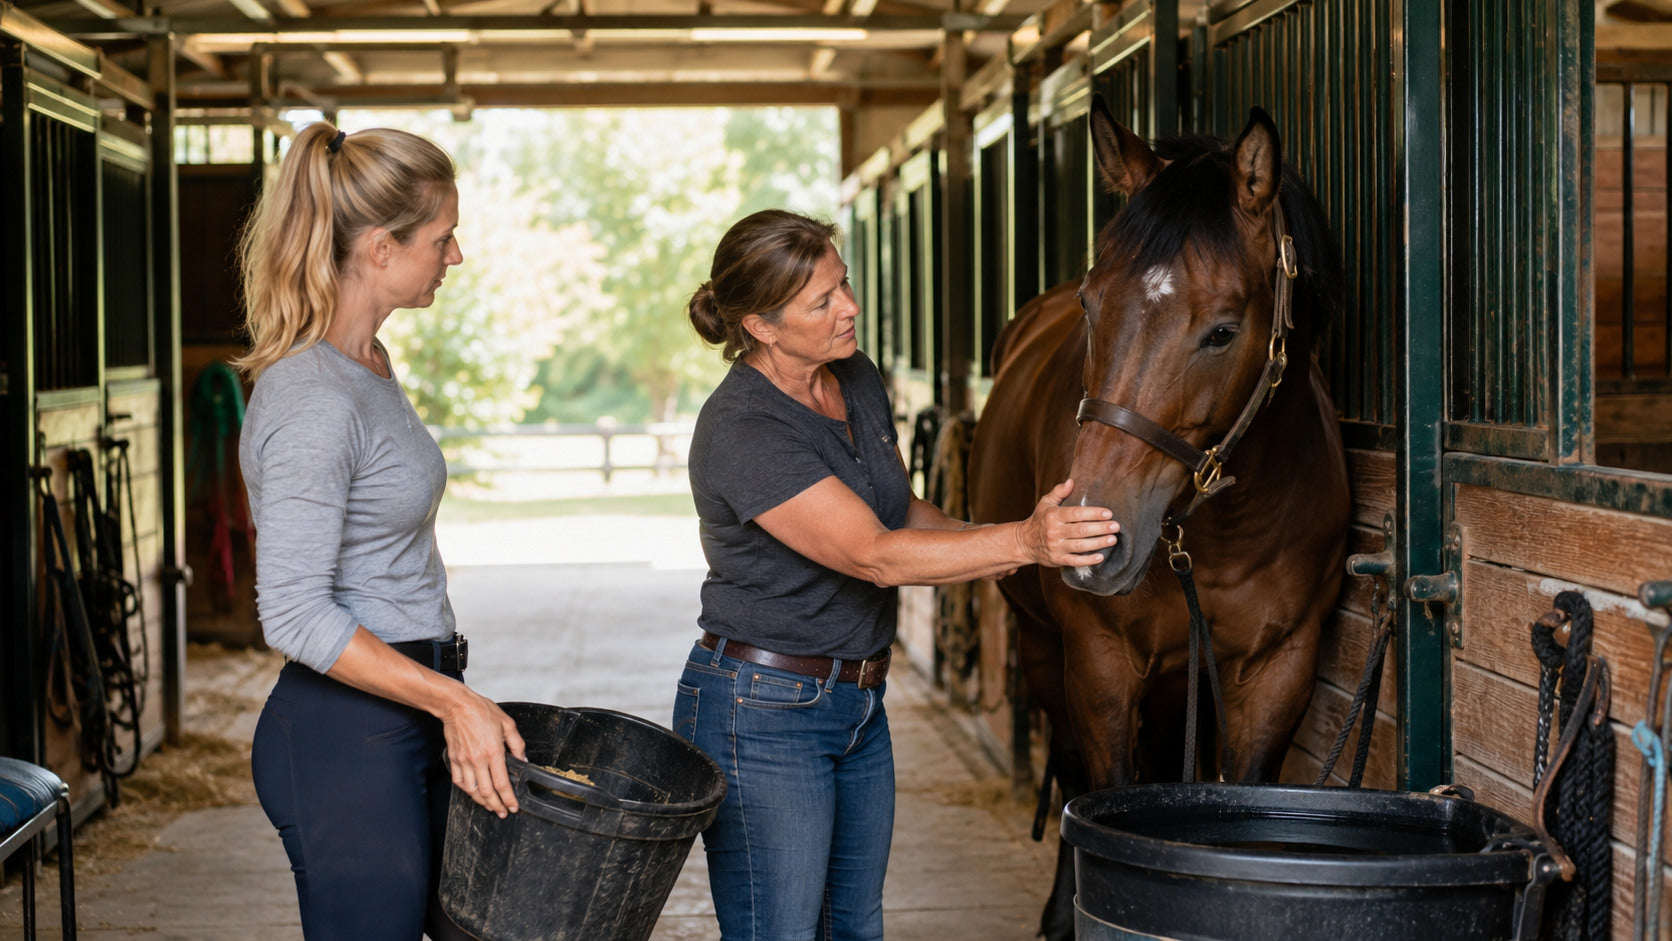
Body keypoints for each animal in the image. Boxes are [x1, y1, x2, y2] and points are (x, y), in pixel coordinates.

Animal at [965, 95, 1351, 940]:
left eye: (1223, 329)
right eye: (1091, 304)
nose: (1092, 537)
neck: (1224, 536)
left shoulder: (1278, 670)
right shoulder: (1100, 662)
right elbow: (1100, 793)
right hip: (1042, 646)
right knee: (1068, 764)